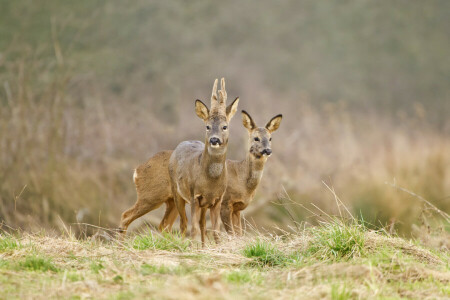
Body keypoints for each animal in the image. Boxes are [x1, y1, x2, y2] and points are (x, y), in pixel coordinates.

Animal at [169, 78, 239, 246]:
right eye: (207, 126)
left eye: (224, 126)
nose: (214, 139)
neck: (210, 182)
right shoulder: (194, 196)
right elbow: (193, 229)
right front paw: (192, 248)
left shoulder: (217, 199)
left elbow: (216, 231)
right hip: (176, 191)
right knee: (184, 223)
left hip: (204, 204)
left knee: (201, 224)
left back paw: (202, 246)